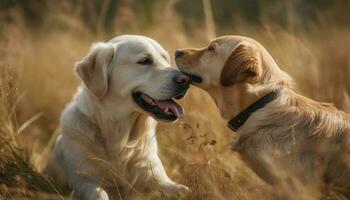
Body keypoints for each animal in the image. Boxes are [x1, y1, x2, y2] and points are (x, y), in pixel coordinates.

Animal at [51, 35, 190, 199]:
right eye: (144, 61)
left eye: (166, 59)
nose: (186, 80)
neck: (121, 137)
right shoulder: (82, 179)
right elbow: (99, 194)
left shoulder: (154, 175)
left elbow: (183, 189)